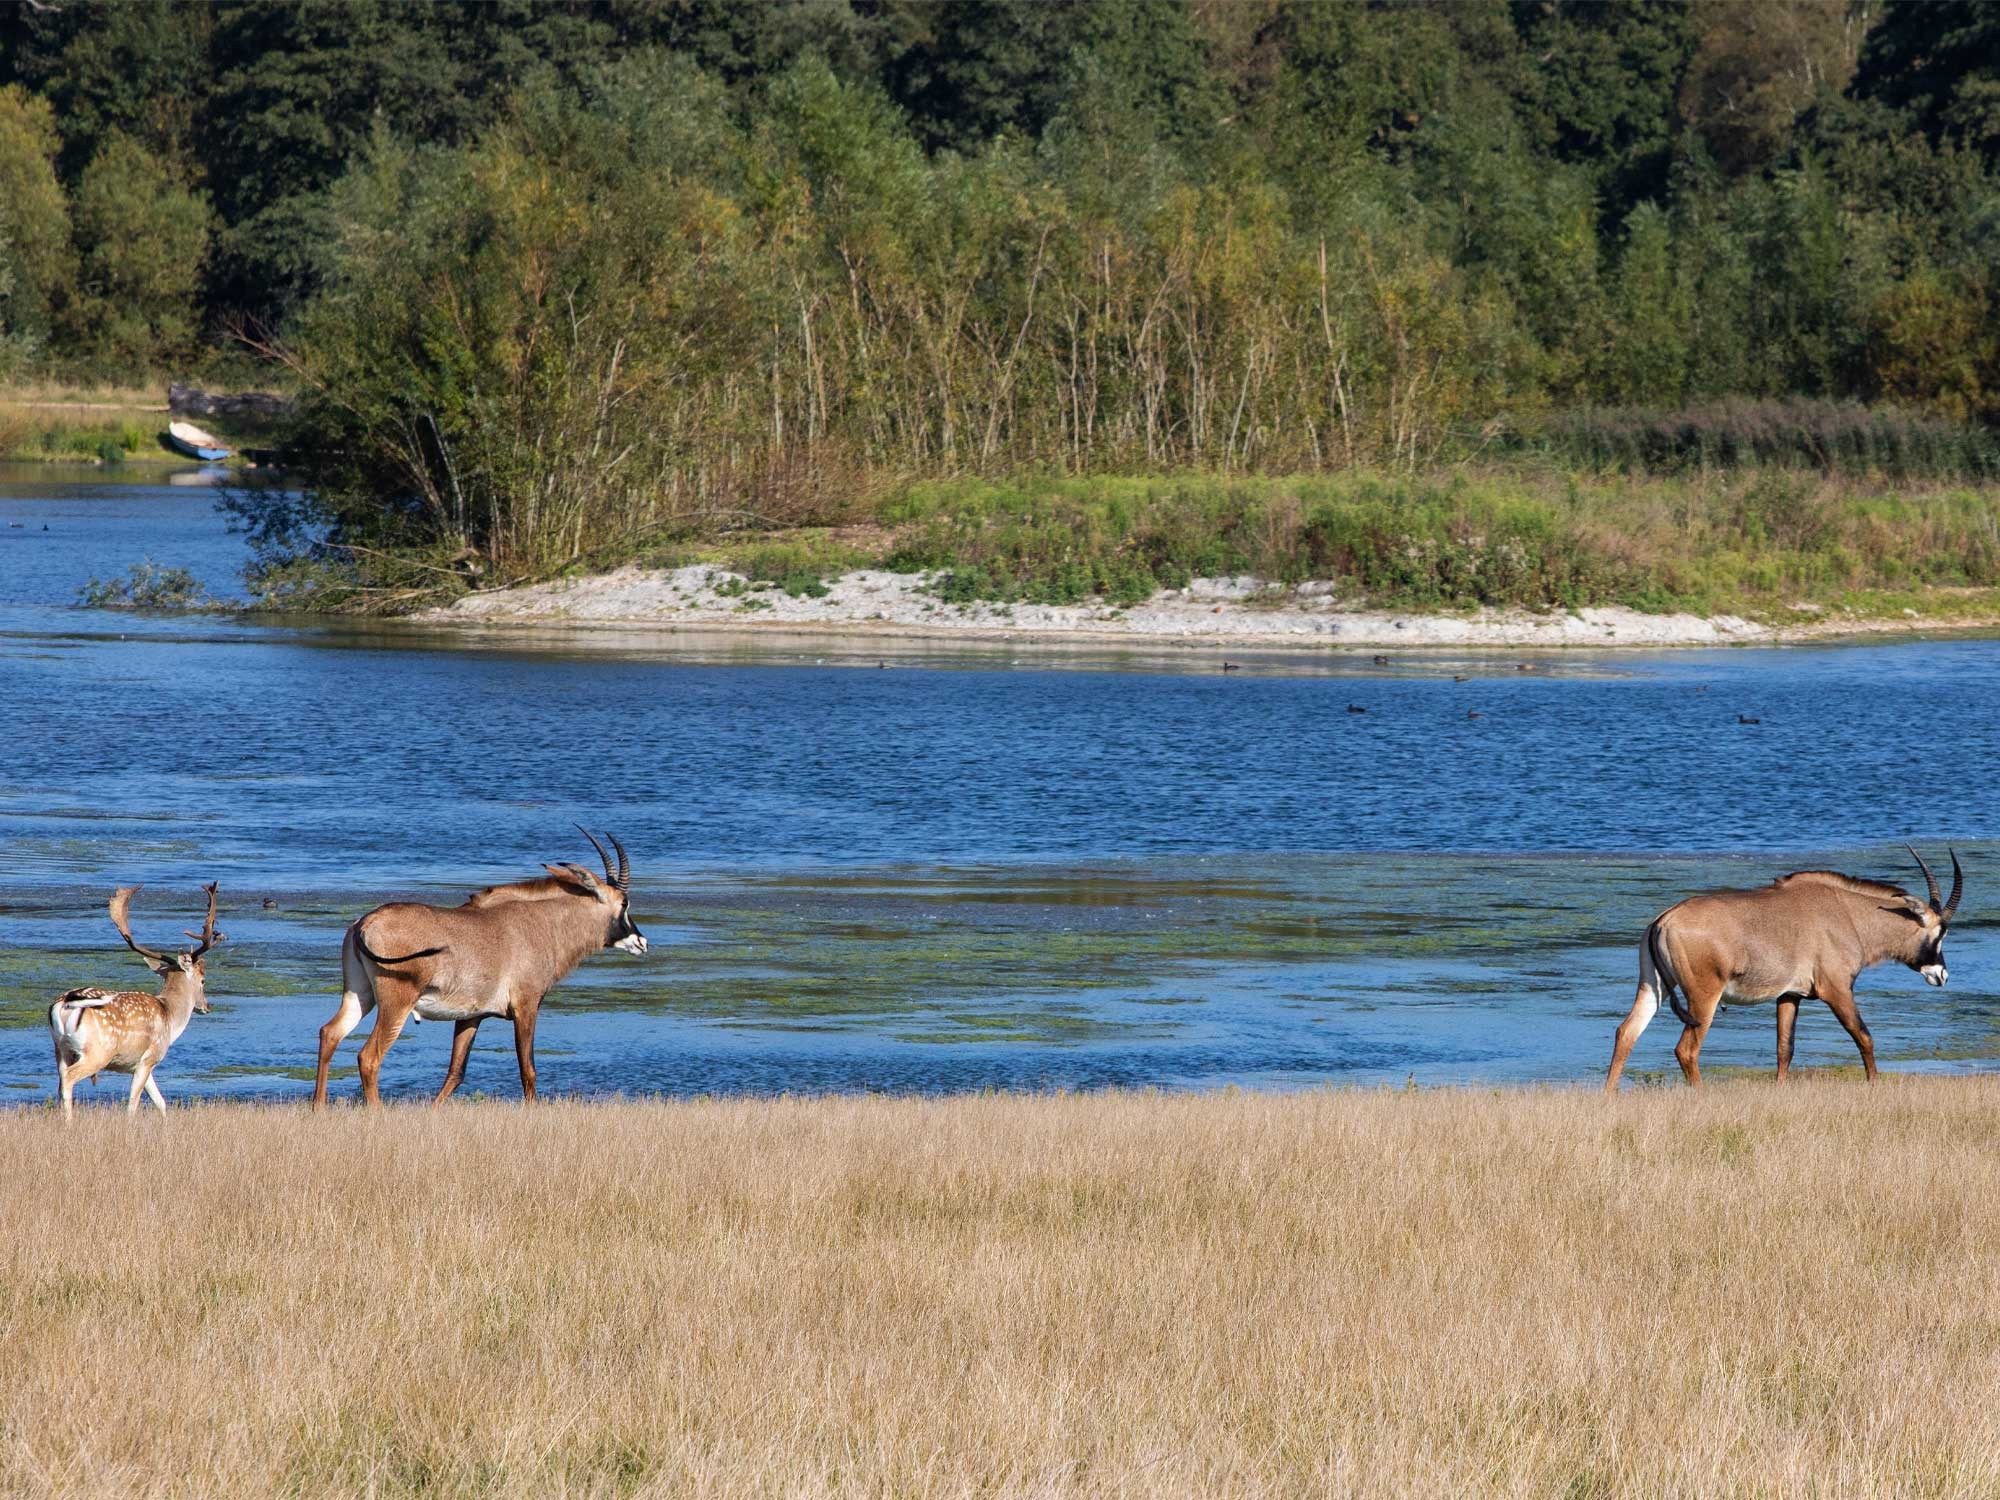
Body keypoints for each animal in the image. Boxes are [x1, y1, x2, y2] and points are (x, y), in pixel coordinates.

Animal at [49, 888, 225, 1120]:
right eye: (203, 980)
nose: (206, 1006)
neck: (170, 1017)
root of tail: (64, 1004)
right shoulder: (149, 1058)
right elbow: (132, 1104)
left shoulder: (138, 1064)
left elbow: (161, 1102)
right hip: (97, 1051)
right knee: (68, 1079)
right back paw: (70, 1122)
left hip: (60, 1049)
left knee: (60, 1080)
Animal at [310, 828, 648, 1112]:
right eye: (624, 903)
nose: (641, 942)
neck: (541, 923)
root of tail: (365, 923)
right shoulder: (526, 1006)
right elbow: (527, 1068)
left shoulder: (471, 1016)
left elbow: (456, 1071)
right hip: (397, 1003)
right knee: (369, 1056)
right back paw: (376, 1112)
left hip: (360, 994)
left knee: (330, 1033)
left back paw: (319, 1108)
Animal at [1600, 848, 1960, 1096]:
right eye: (1940, 932)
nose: (1941, 975)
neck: (1848, 913)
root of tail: (1665, 919)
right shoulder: (1837, 989)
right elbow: (1863, 1036)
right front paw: (1874, 1084)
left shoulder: (1789, 995)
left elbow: (1784, 1048)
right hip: (1704, 997)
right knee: (1686, 1049)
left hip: (1654, 987)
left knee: (1627, 1031)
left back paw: (1609, 1095)